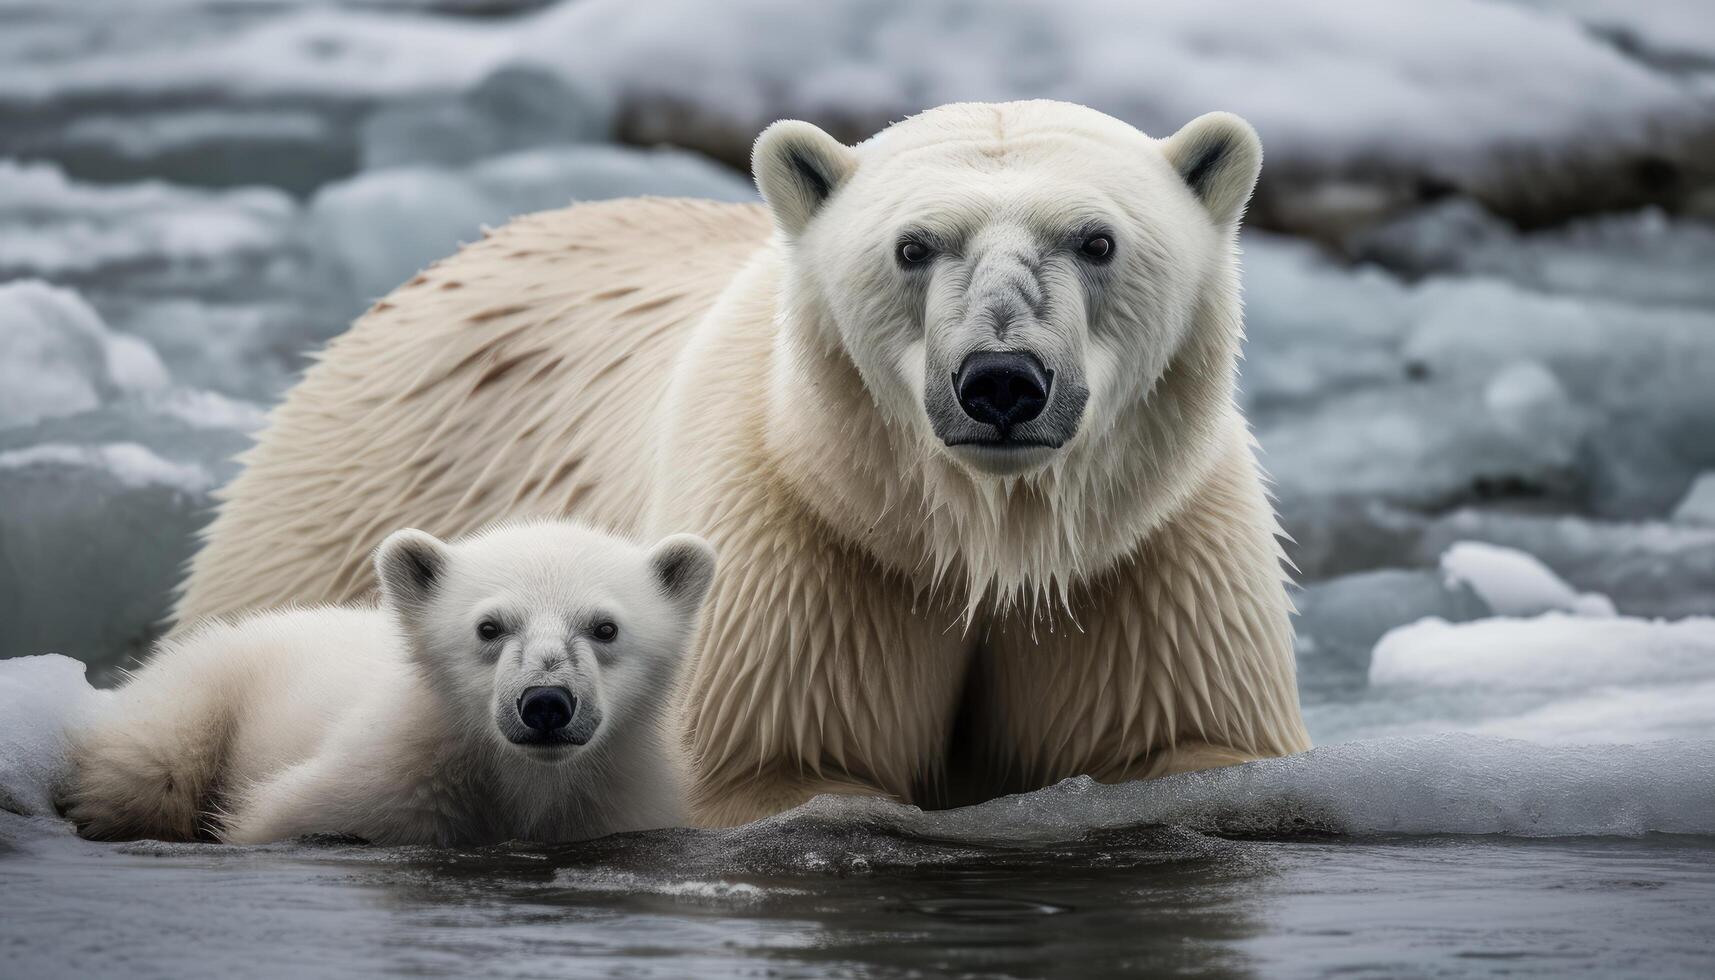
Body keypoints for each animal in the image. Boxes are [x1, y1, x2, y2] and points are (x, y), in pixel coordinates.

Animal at [180, 99, 1310, 823]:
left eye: (1095, 239)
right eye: (911, 246)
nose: (1000, 381)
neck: (974, 537)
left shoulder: (1148, 552)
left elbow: (1187, 744)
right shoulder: (804, 545)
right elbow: (777, 762)